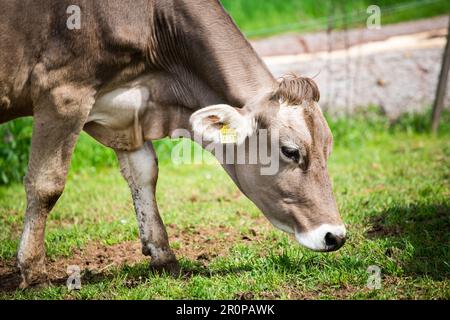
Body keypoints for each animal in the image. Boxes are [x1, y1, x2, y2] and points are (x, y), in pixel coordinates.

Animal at [0, 0, 346, 288]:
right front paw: (33, 271)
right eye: (290, 151)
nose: (335, 235)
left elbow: (144, 176)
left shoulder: (127, 114)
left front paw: (162, 254)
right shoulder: (62, 92)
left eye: (328, 149)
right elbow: (46, 185)